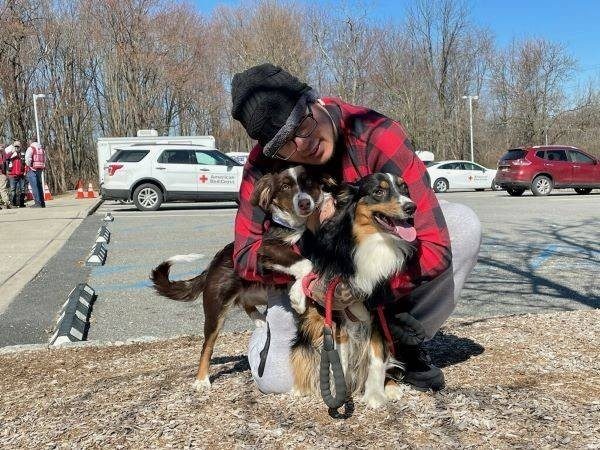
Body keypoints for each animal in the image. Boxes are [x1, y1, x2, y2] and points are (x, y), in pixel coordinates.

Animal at [150, 165, 332, 390]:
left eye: (309, 182)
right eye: (285, 186)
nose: (304, 202)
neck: (300, 226)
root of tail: (213, 264)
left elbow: (309, 268)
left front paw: (298, 293)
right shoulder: (266, 249)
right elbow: (305, 263)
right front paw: (298, 297)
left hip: (256, 291)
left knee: (245, 303)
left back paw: (260, 320)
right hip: (216, 308)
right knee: (207, 345)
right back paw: (202, 380)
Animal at [290, 172, 418, 408]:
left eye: (404, 189)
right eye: (378, 191)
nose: (411, 207)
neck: (373, 239)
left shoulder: (379, 312)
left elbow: (377, 357)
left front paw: (375, 395)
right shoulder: (335, 313)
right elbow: (339, 359)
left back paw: (391, 387)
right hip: (309, 330)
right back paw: (299, 388)